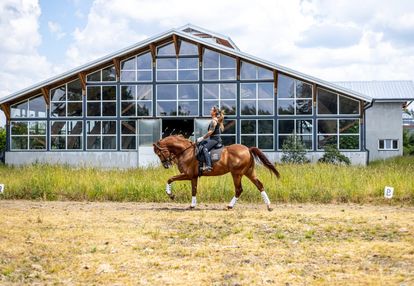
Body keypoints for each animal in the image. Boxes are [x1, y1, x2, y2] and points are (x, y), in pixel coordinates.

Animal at [153, 134, 282, 210]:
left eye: (159, 153)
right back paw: (269, 206)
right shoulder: (193, 176)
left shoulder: (188, 174)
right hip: (249, 172)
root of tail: (248, 149)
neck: (186, 151)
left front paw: (171, 195)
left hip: (236, 174)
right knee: (259, 185)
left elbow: (170, 179)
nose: (166, 165)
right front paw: (192, 205)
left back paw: (230, 206)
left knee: (239, 189)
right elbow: (194, 190)